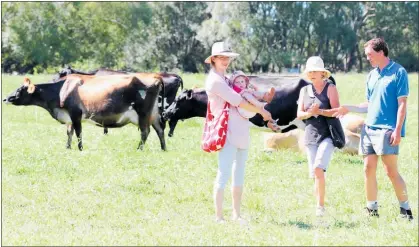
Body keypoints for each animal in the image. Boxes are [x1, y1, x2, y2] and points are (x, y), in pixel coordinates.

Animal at [4, 74, 166, 150]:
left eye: (19, 90)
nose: (6, 98)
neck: (61, 90)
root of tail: (155, 76)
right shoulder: (69, 117)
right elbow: (69, 133)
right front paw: (67, 148)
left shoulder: (76, 114)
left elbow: (78, 133)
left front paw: (80, 149)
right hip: (154, 114)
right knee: (160, 130)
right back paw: (163, 149)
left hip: (143, 113)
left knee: (145, 132)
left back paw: (139, 149)